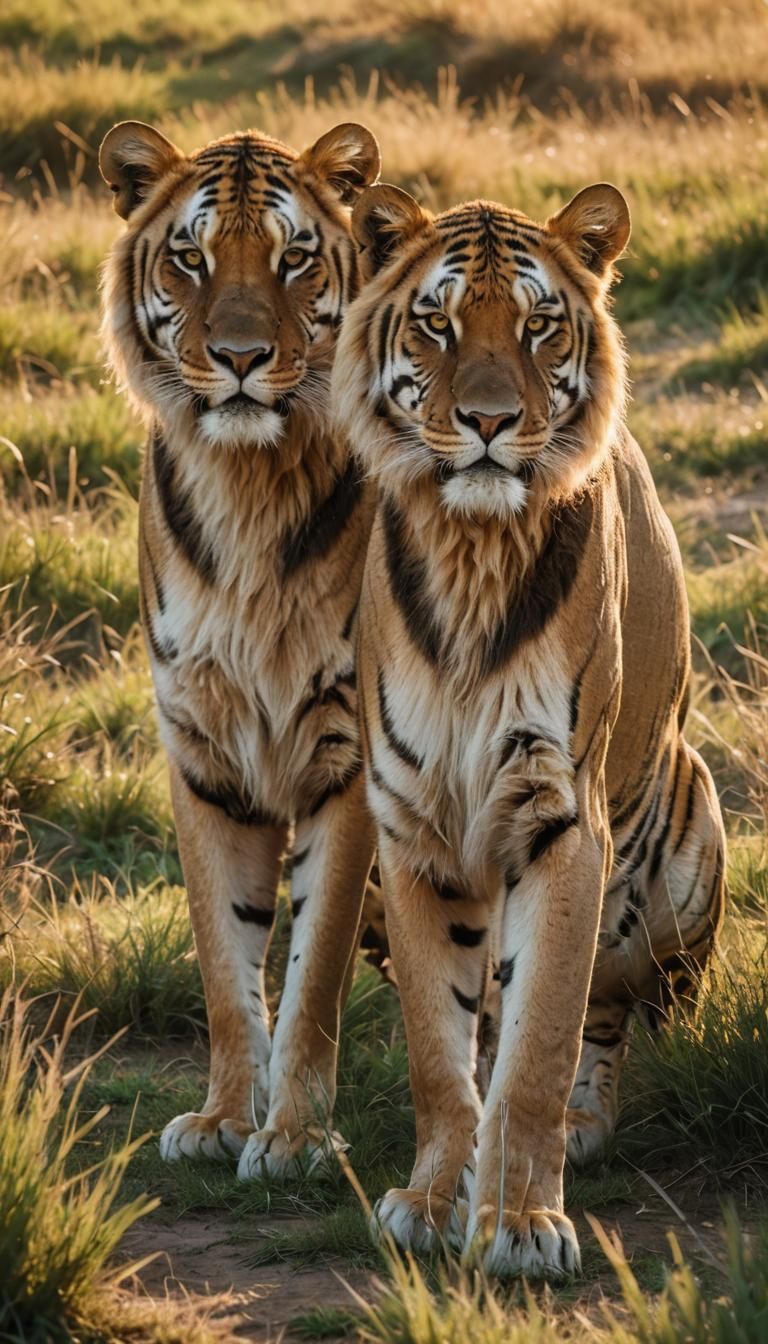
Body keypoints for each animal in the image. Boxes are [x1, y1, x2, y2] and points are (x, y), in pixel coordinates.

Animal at [99, 118, 382, 1178]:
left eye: (293, 259)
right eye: (193, 258)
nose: (241, 357)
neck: (247, 480)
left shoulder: (348, 756)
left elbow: (314, 968)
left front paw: (294, 1137)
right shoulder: (203, 748)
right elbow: (225, 960)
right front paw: (223, 1119)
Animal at [330, 180, 726, 1277]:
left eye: (538, 324)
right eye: (438, 322)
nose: (489, 420)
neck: (472, 550)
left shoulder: (558, 820)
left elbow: (542, 1035)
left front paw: (517, 1221)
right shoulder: (412, 828)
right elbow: (439, 1046)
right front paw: (433, 1201)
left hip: (690, 833)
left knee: (618, 1012)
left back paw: (587, 1125)